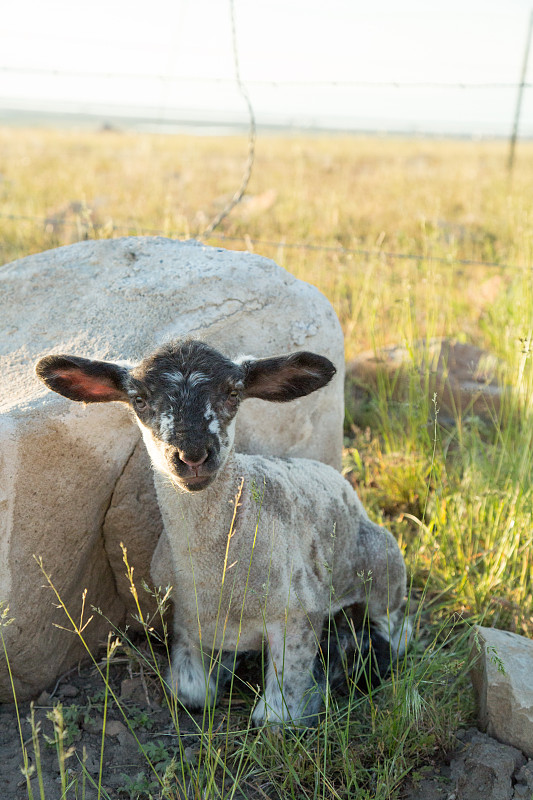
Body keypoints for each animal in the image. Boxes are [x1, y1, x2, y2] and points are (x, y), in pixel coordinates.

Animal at [36, 340, 408, 728]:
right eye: (138, 399)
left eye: (233, 393)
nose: (193, 456)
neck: (217, 576)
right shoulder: (185, 617)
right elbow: (189, 693)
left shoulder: (301, 613)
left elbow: (276, 714)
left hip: (385, 564)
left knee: (395, 624)